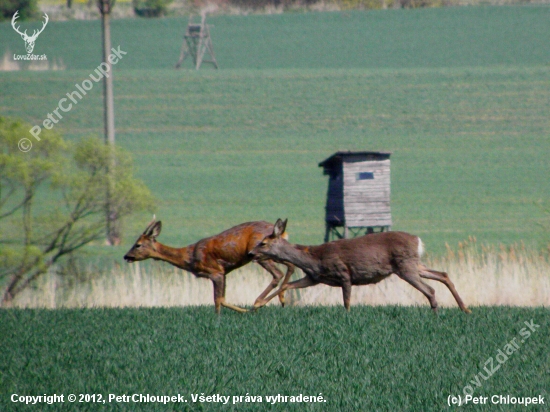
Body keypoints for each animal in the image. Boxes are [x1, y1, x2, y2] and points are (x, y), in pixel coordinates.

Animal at [124, 219, 298, 312]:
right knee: (291, 265)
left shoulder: (216, 272)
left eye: (138, 245)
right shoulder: (223, 273)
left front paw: (228, 317)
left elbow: (218, 300)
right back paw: (281, 299)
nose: (126, 256)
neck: (189, 257)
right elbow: (221, 299)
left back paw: (258, 303)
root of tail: (282, 232)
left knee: (278, 273)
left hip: (261, 254)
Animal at [248, 219, 472, 312]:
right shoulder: (314, 278)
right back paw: (465, 309)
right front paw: (259, 304)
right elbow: (287, 285)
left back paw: (437, 313)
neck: (313, 260)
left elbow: (346, 302)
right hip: (415, 264)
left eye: (264, 243)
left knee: (430, 289)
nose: (250, 253)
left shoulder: (344, 274)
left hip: (405, 266)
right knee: (443, 275)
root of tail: (417, 240)